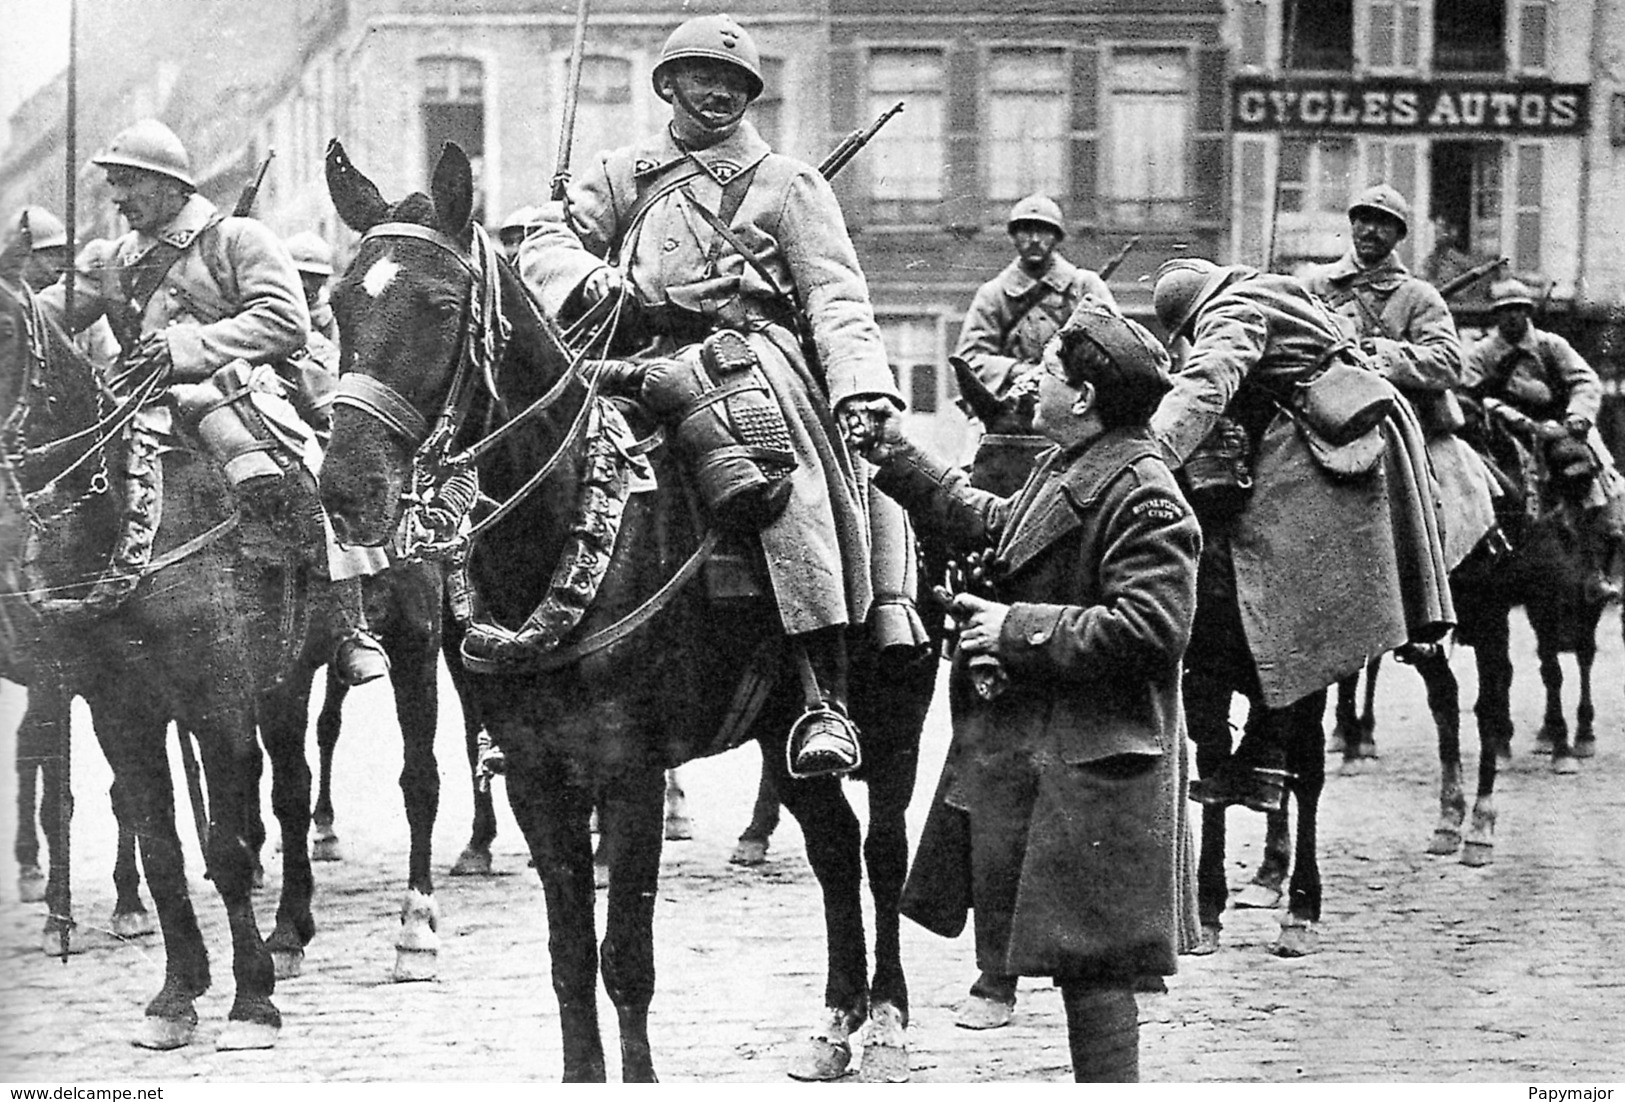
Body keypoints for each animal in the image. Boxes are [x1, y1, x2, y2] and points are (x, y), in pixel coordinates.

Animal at [315, 140, 942, 1085]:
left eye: (440, 305)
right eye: (338, 303)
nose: (346, 489)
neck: (572, 530)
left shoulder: (630, 775)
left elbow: (626, 960)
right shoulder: (538, 778)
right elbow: (569, 956)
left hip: (894, 719)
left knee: (881, 853)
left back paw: (891, 1022)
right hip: (777, 734)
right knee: (832, 852)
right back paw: (835, 1022)